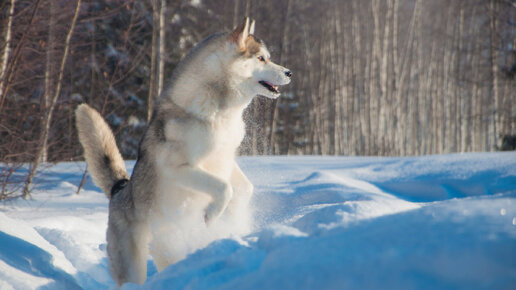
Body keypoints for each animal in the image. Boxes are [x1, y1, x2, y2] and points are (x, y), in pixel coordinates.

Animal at [74, 18, 290, 286]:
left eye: (268, 58)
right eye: (261, 58)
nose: (289, 73)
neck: (219, 111)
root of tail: (120, 189)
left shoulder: (226, 159)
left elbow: (243, 189)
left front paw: (236, 222)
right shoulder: (179, 169)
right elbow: (223, 188)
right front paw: (211, 215)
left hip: (162, 244)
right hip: (136, 263)